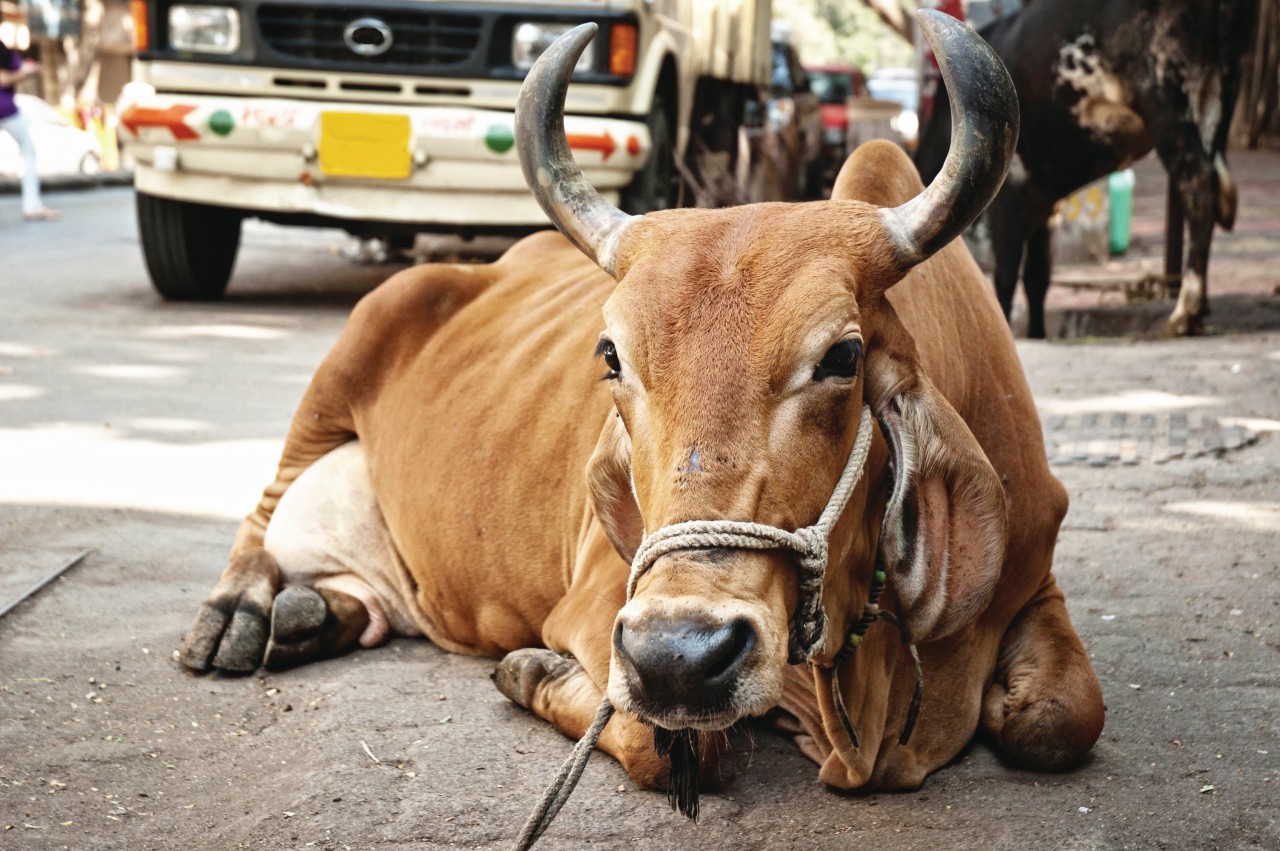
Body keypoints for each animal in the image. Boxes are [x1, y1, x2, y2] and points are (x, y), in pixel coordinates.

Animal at [183, 9, 1111, 798]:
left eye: (842, 357)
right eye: (611, 356)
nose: (679, 655)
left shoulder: (1038, 580)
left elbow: (1059, 719)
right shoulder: (604, 611)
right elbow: (674, 743)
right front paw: (531, 669)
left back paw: (314, 613)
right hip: (352, 345)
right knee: (266, 510)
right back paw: (240, 613)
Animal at [916, 0, 1254, 337]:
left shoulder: (1010, 191)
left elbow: (1007, 272)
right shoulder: (1043, 205)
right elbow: (1037, 278)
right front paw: (1037, 333)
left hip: (1165, 99)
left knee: (1197, 181)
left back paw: (1185, 311)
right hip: (1219, 95)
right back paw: (1200, 306)